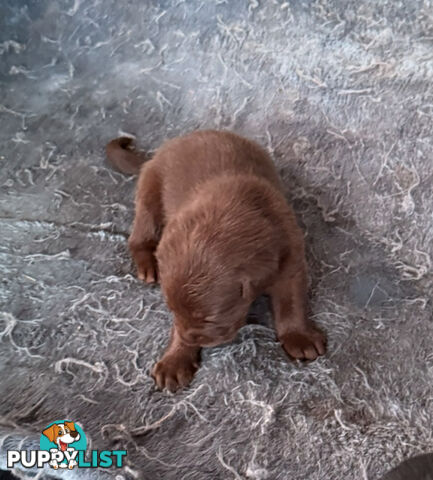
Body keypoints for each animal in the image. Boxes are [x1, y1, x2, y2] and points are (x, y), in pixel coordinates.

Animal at [106, 129, 326, 392]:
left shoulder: (291, 255)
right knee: (141, 234)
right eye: (172, 310)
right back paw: (148, 264)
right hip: (150, 191)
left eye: (210, 318)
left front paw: (299, 337)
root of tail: (160, 151)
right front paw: (175, 360)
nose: (189, 337)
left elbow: (291, 302)